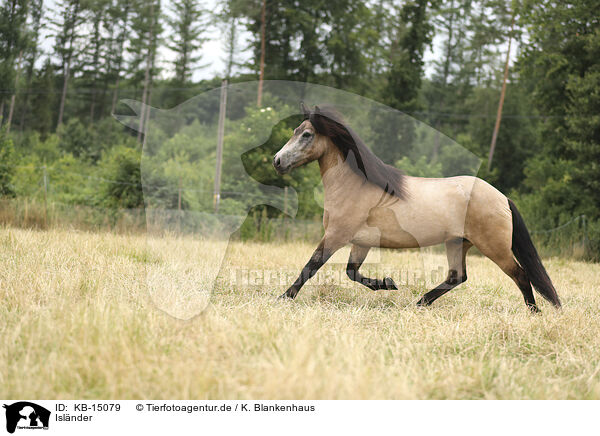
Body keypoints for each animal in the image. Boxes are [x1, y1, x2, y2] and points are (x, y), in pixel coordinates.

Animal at [274, 104, 564, 312]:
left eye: (307, 134)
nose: (277, 161)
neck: (354, 185)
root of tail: (502, 198)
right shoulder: (361, 242)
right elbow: (351, 272)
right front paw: (388, 284)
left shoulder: (336, 235)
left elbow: (311, 266)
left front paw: (283, 297)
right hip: (458, 243)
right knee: (457, 276)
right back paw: (421, 302)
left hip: (494, 247)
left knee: (520, 275)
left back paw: (534, 312)